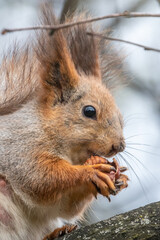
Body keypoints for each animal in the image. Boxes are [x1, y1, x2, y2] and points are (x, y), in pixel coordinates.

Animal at [0, 3, 127, 240]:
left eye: (121, 118)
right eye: (89, 111)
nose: (119, 146)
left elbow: (64, 207)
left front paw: (118, 178)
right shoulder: (20, 146)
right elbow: (38, 177)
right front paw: (90, 171)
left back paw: (57, 231)